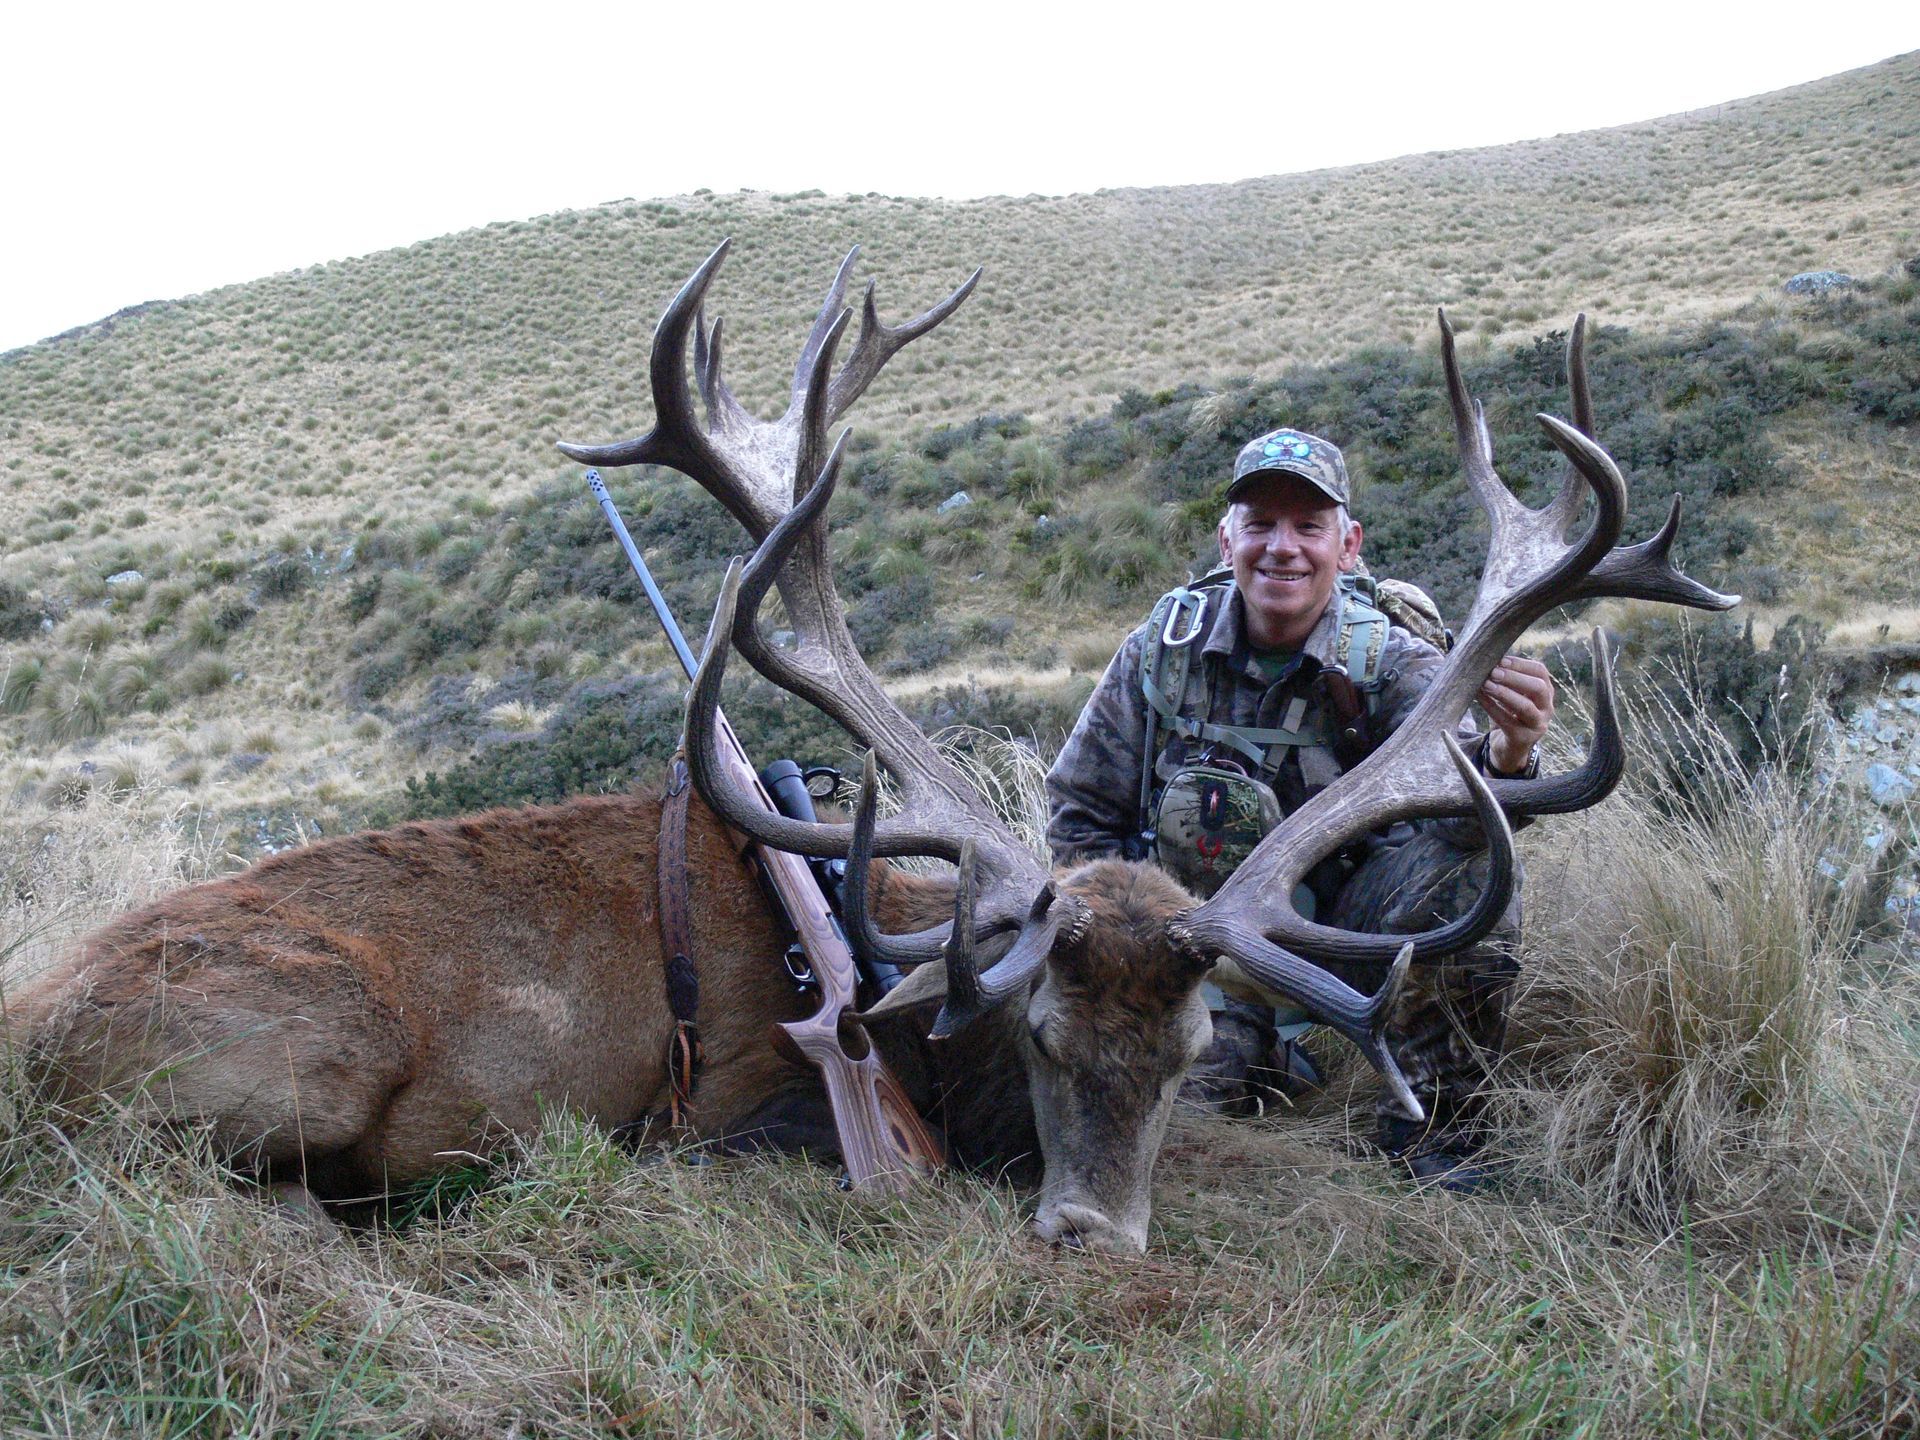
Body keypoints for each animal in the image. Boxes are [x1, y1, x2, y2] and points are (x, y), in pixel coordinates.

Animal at [2, 239, 1732, 1254]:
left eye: (1187, 1056)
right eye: (1040, 1034)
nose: (1092, 1236)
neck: (901, 1005)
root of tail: (23, 1039)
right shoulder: (749, 1113)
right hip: (297, 1042)